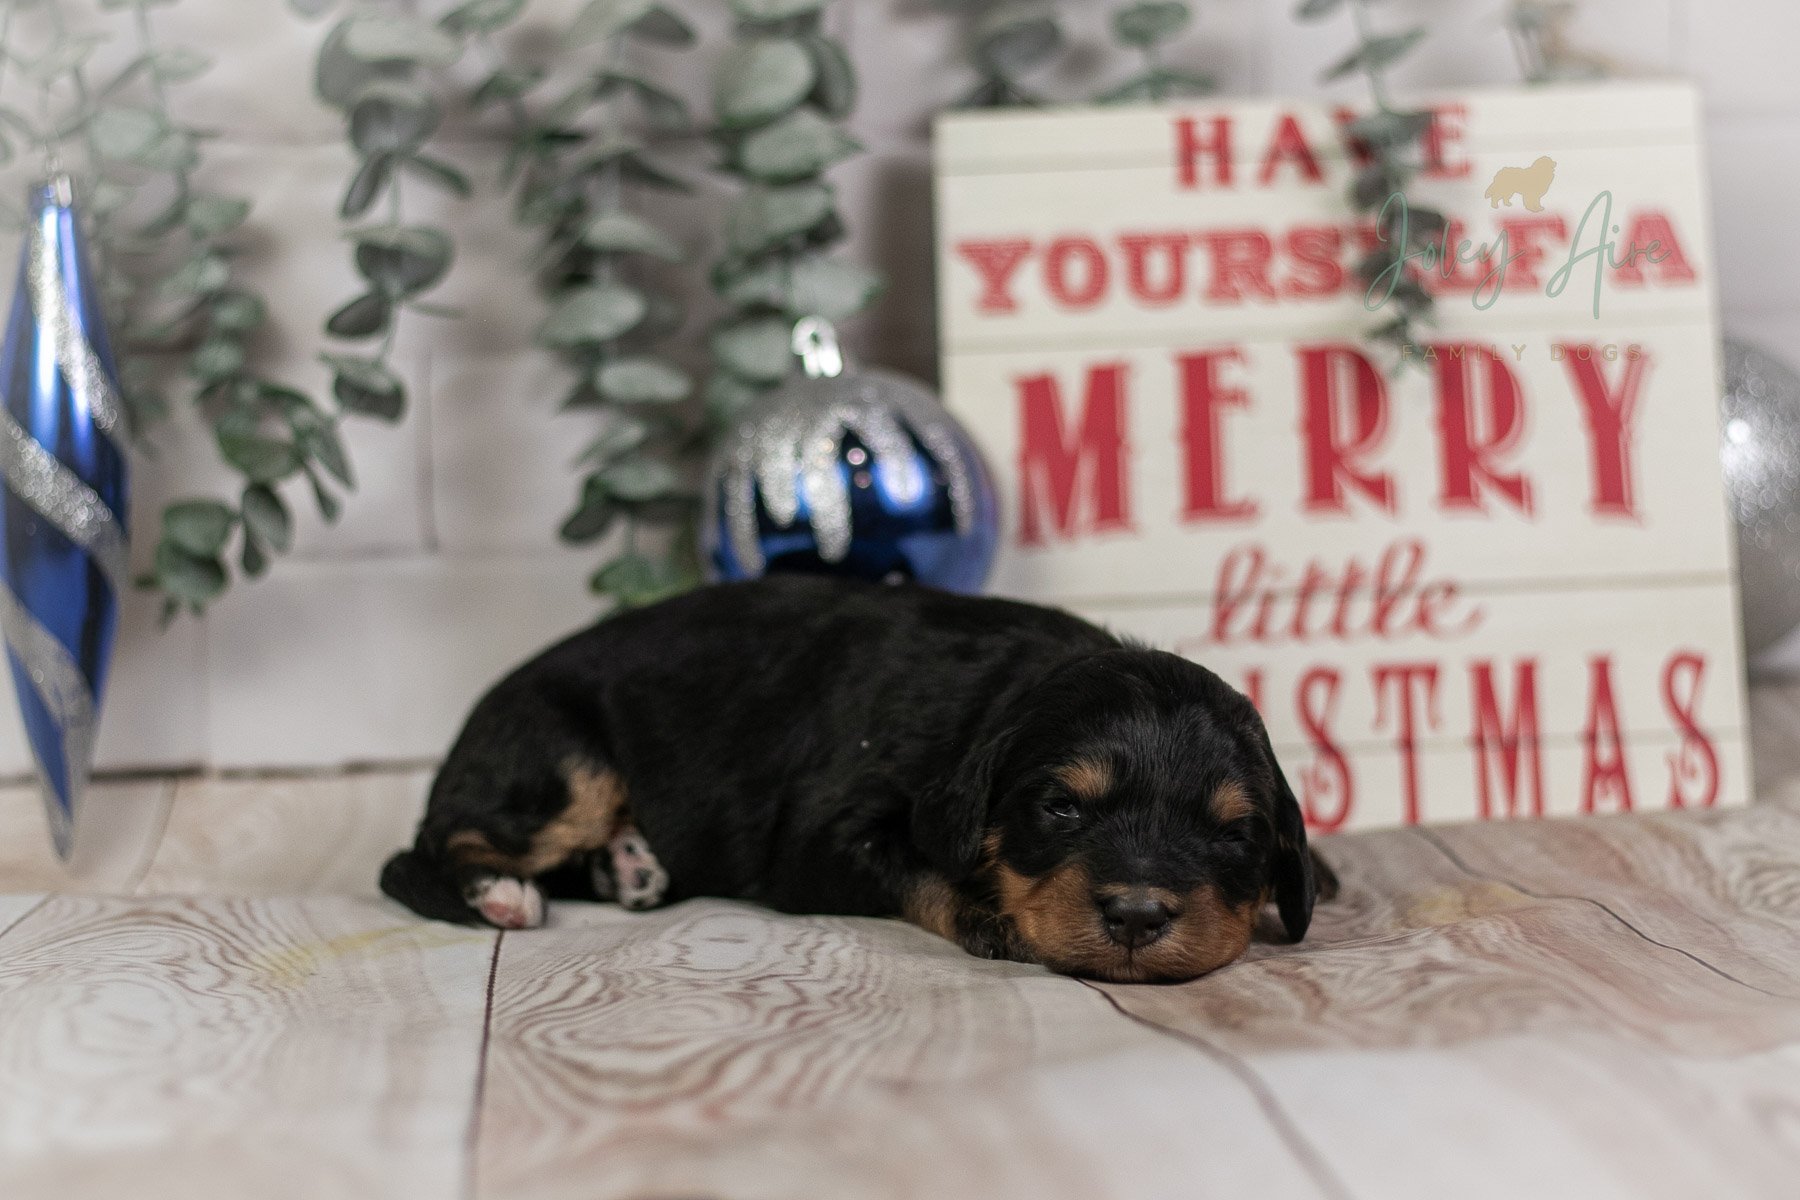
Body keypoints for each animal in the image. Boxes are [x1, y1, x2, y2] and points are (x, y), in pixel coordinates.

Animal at [380, 576, 1335, 983]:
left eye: (1234, 834)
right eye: (1060, 808)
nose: (1137, 916)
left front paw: (1317, 872)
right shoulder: (821, 838)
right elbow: (925, 871)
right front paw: (994, 915)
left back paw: (629, 866)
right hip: (562, 763)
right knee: (420, 851)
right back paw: (503, 893)